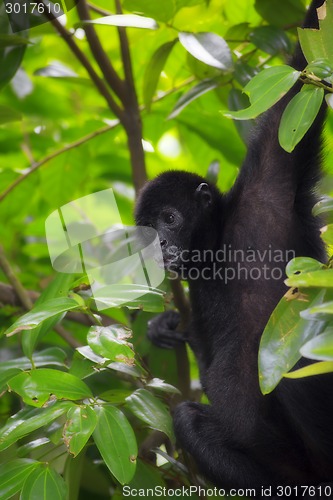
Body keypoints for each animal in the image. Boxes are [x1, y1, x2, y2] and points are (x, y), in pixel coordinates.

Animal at [134, 0, 330, 492]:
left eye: (169, 219)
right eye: (148, 229)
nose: (160, 244)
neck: (220, 245)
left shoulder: (268, 190)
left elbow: (295, 88)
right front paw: (165, 326)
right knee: (187, 418)